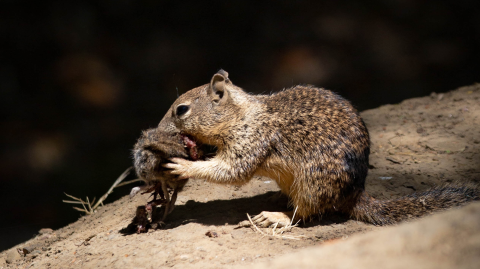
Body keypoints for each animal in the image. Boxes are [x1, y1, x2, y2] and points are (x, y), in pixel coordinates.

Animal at [160, 69, 476, 226]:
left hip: (313, 183)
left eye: (181, 110)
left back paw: (276, 216)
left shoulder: (251, 141)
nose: (159, 129)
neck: (242, 115)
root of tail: (354, 193)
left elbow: (231, 171)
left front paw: (183, 165)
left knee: (305, 213)